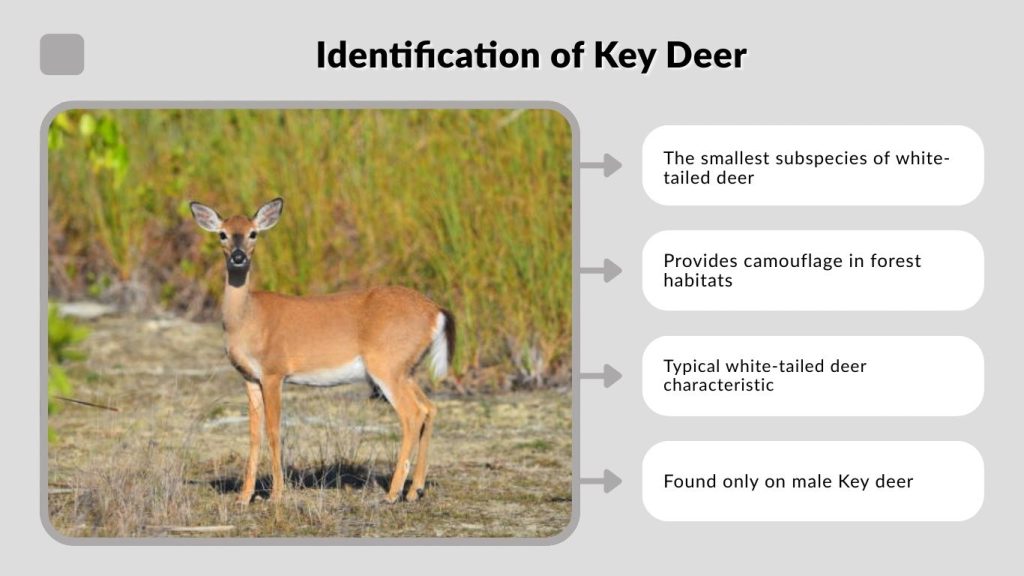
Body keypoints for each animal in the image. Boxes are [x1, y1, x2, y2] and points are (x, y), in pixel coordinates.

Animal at [189, 198, 454, 505]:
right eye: (223, 234)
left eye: (253, 233)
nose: (238, 257)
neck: (246, 319)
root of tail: (436, 311)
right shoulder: (250, 377)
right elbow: (254, 434)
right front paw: (244, 497)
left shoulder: (274, 372)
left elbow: (274, 430)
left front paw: (276, 494)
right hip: (405, 369)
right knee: (429, 408)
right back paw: (415, 490)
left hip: (387, 366)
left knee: (412, 415)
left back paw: (392, 493)